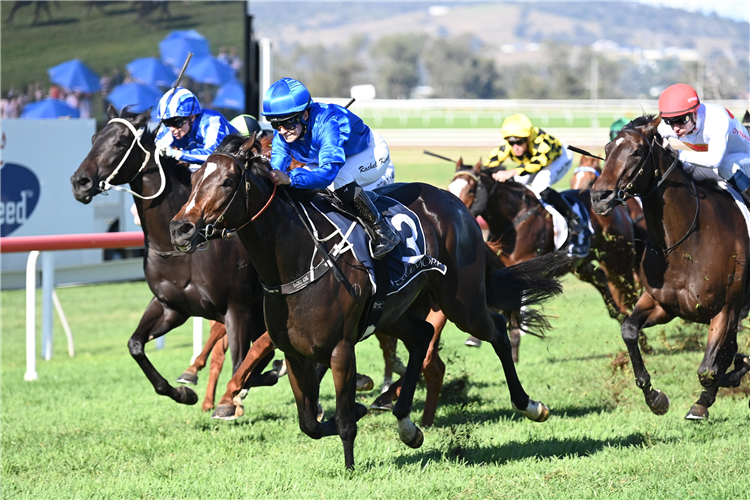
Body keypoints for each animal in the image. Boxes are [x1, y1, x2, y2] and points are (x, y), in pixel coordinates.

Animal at [170, 134, 568, 468]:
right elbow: (309, 423)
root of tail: (456, 204)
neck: (295, 260)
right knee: (422, 338)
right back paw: (408, 424)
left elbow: (344, 419)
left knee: (496, 330)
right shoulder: (295, 353)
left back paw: (530, 405)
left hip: (462, 302)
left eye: (227, 181)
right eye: (193, 179)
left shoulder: (341, 348)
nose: (180, 229)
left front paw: (350, 465)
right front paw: (356, 410)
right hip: (395, 311)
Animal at [450, 156, 644, 330]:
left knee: (631, 297)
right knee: (603, 282)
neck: (514, 218)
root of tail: (619, 208)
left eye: (471, 190)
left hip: (618, 263)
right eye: (450, 186)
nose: (456, 213)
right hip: (581, 265)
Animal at [592, 114, 750, 418]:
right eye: (607, 149)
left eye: (637, 151)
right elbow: (628, 330)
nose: (599, 197)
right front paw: (654, 397)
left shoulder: (726, 308)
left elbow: (709, 370)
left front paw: (710, 394)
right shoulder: (662, 304)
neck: (685, 242)